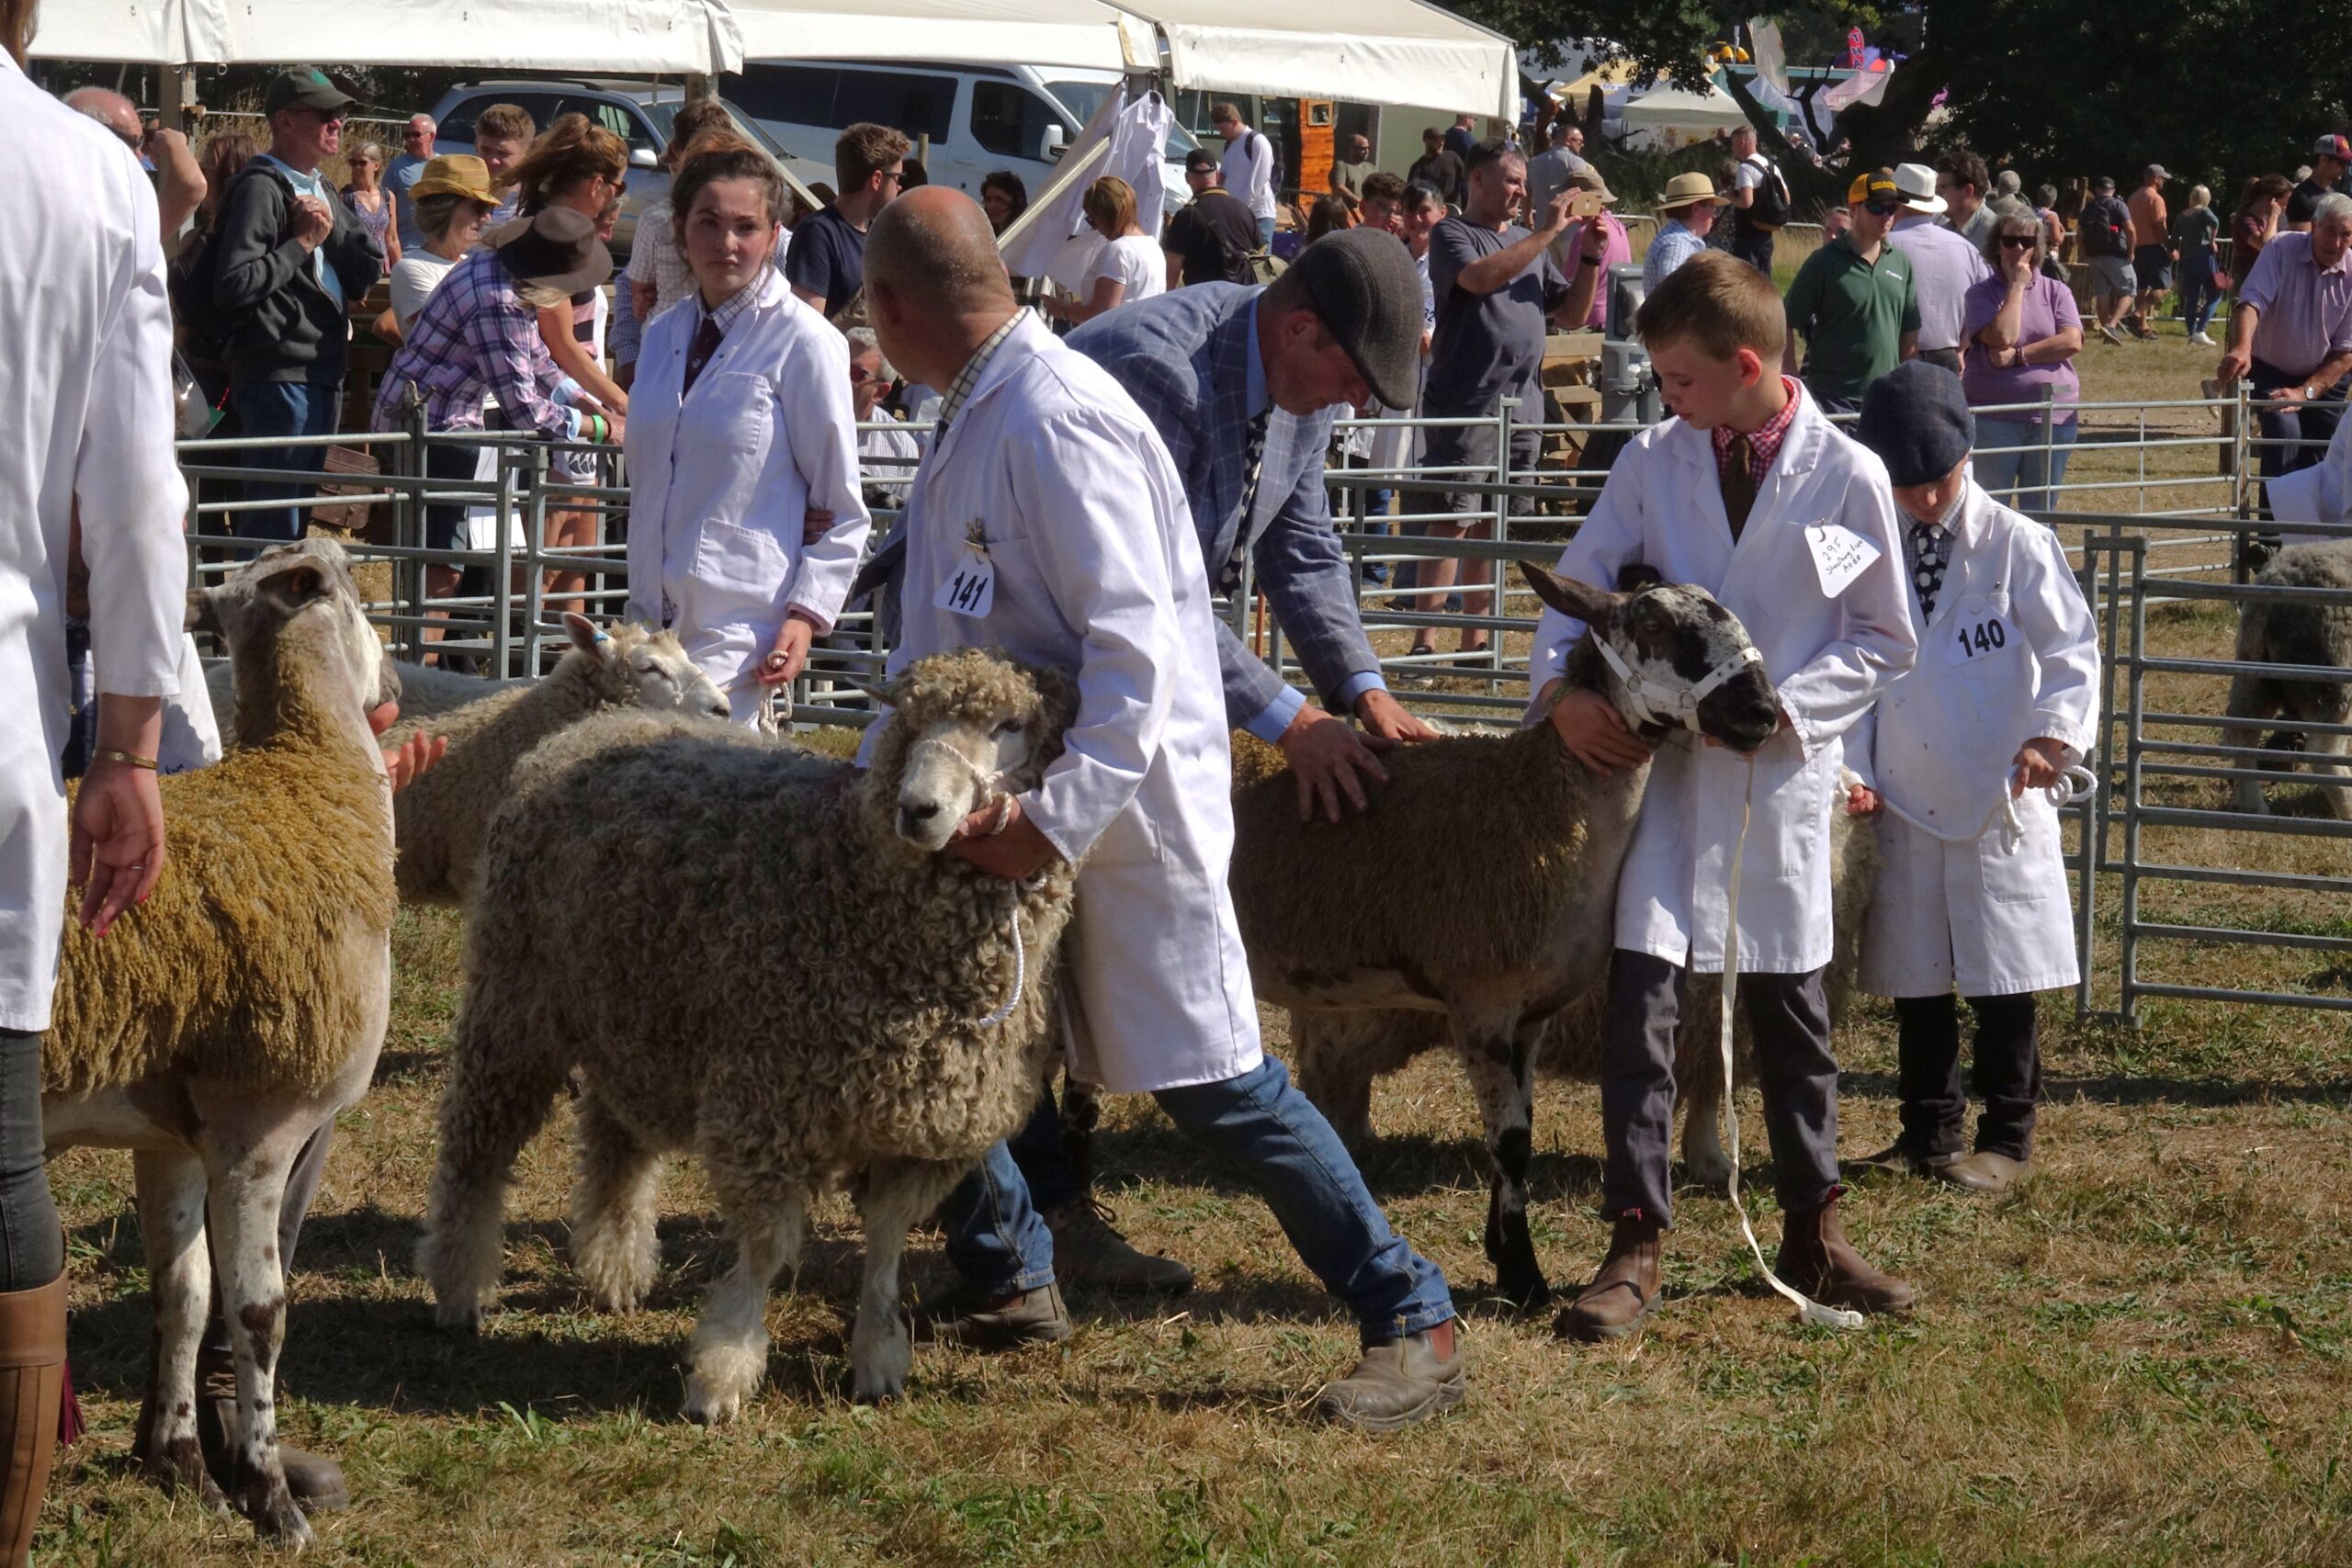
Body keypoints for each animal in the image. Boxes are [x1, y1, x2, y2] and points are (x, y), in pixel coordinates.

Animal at [42, 539, 398, 1549]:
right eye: (357, 597)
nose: (396, 685)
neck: (313, 783)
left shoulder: (168, 1138)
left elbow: (184, 1295)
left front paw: (179, 1465)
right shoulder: (259, 1129)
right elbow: (257, 1311)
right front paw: (271, 1496)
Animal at [417, 649, 1083, 1417]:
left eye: (1010, 726)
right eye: (911, 722)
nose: (917, 809)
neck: (856, 880)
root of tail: (598, 723)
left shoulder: (916, 1129)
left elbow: (886, 1241)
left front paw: (878, 1353)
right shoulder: (771, 1099)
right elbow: (766, 1247)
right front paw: (722, 1372)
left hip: (637, 1011)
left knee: (616, 1142)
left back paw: (615, 1269)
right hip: (516, 997)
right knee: (477, 1145)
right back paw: (458, 1287)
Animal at [1223, 562, 1782, 1311]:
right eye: (1653, 623)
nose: (1762, 712)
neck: (1542, 802)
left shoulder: (1532, 1015)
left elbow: (1518, 1129)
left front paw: (1502, 1251)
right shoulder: (1480, 1000)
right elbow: (1512, 1142)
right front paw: (1524, 1277)